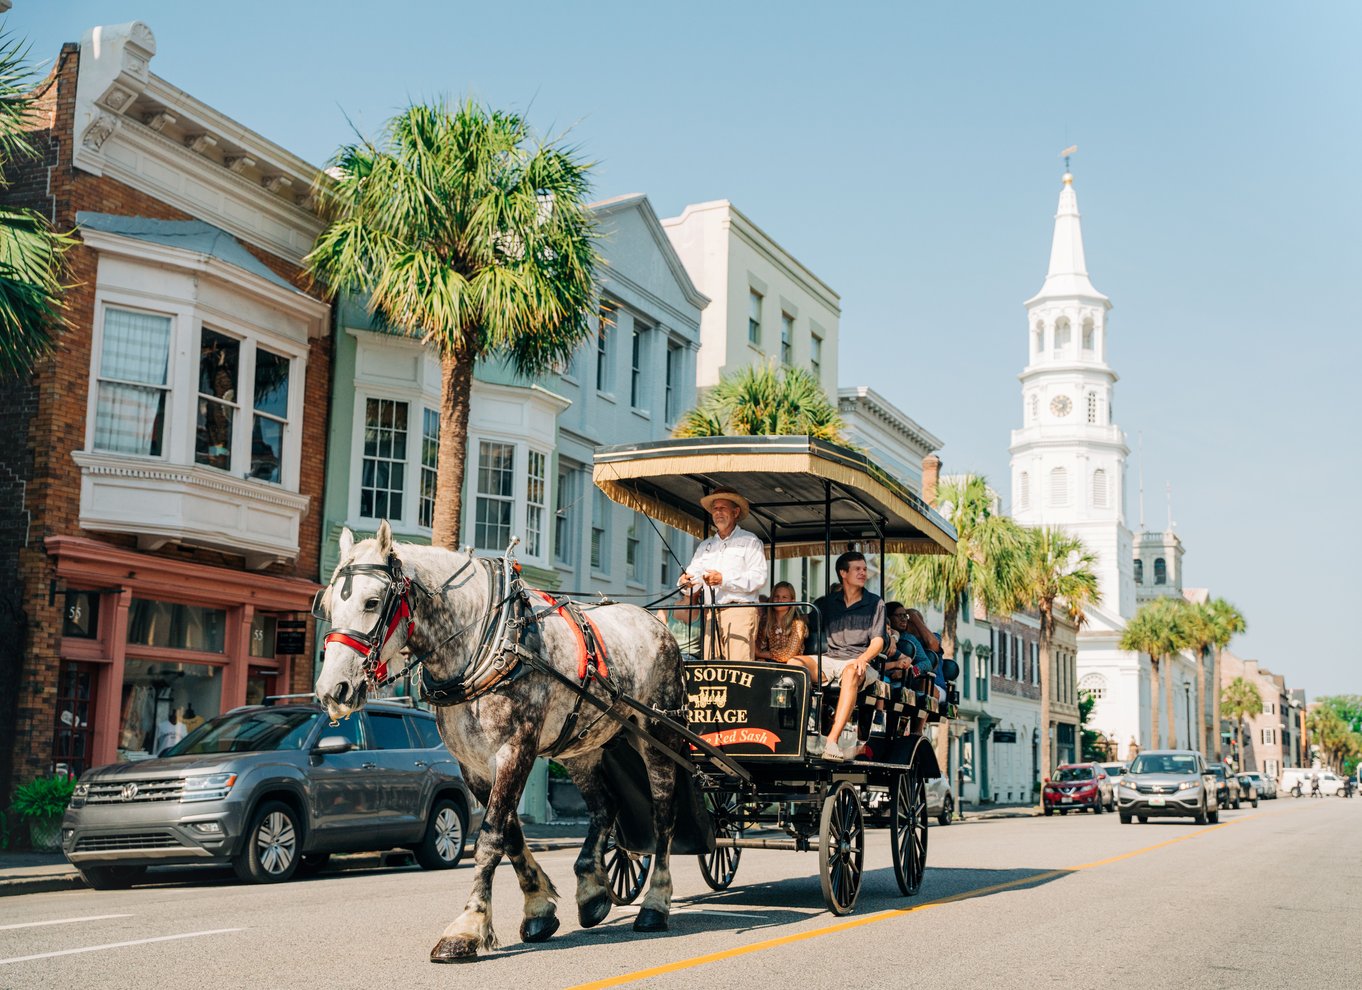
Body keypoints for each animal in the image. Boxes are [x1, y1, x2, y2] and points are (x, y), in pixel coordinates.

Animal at [313, 522, 686, 964]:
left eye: (372, 602)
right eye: (327, 606)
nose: (332, 690)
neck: (487, 641)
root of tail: (655, 622)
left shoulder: (515, 750)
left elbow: (490, 838)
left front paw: (467, 928)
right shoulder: (472, 764)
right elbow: (508, 833)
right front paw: (539, 907)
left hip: (659, 733)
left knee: (663, 815)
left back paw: (655, 904)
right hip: (582, 745)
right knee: (605, 806)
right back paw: (592, 891)